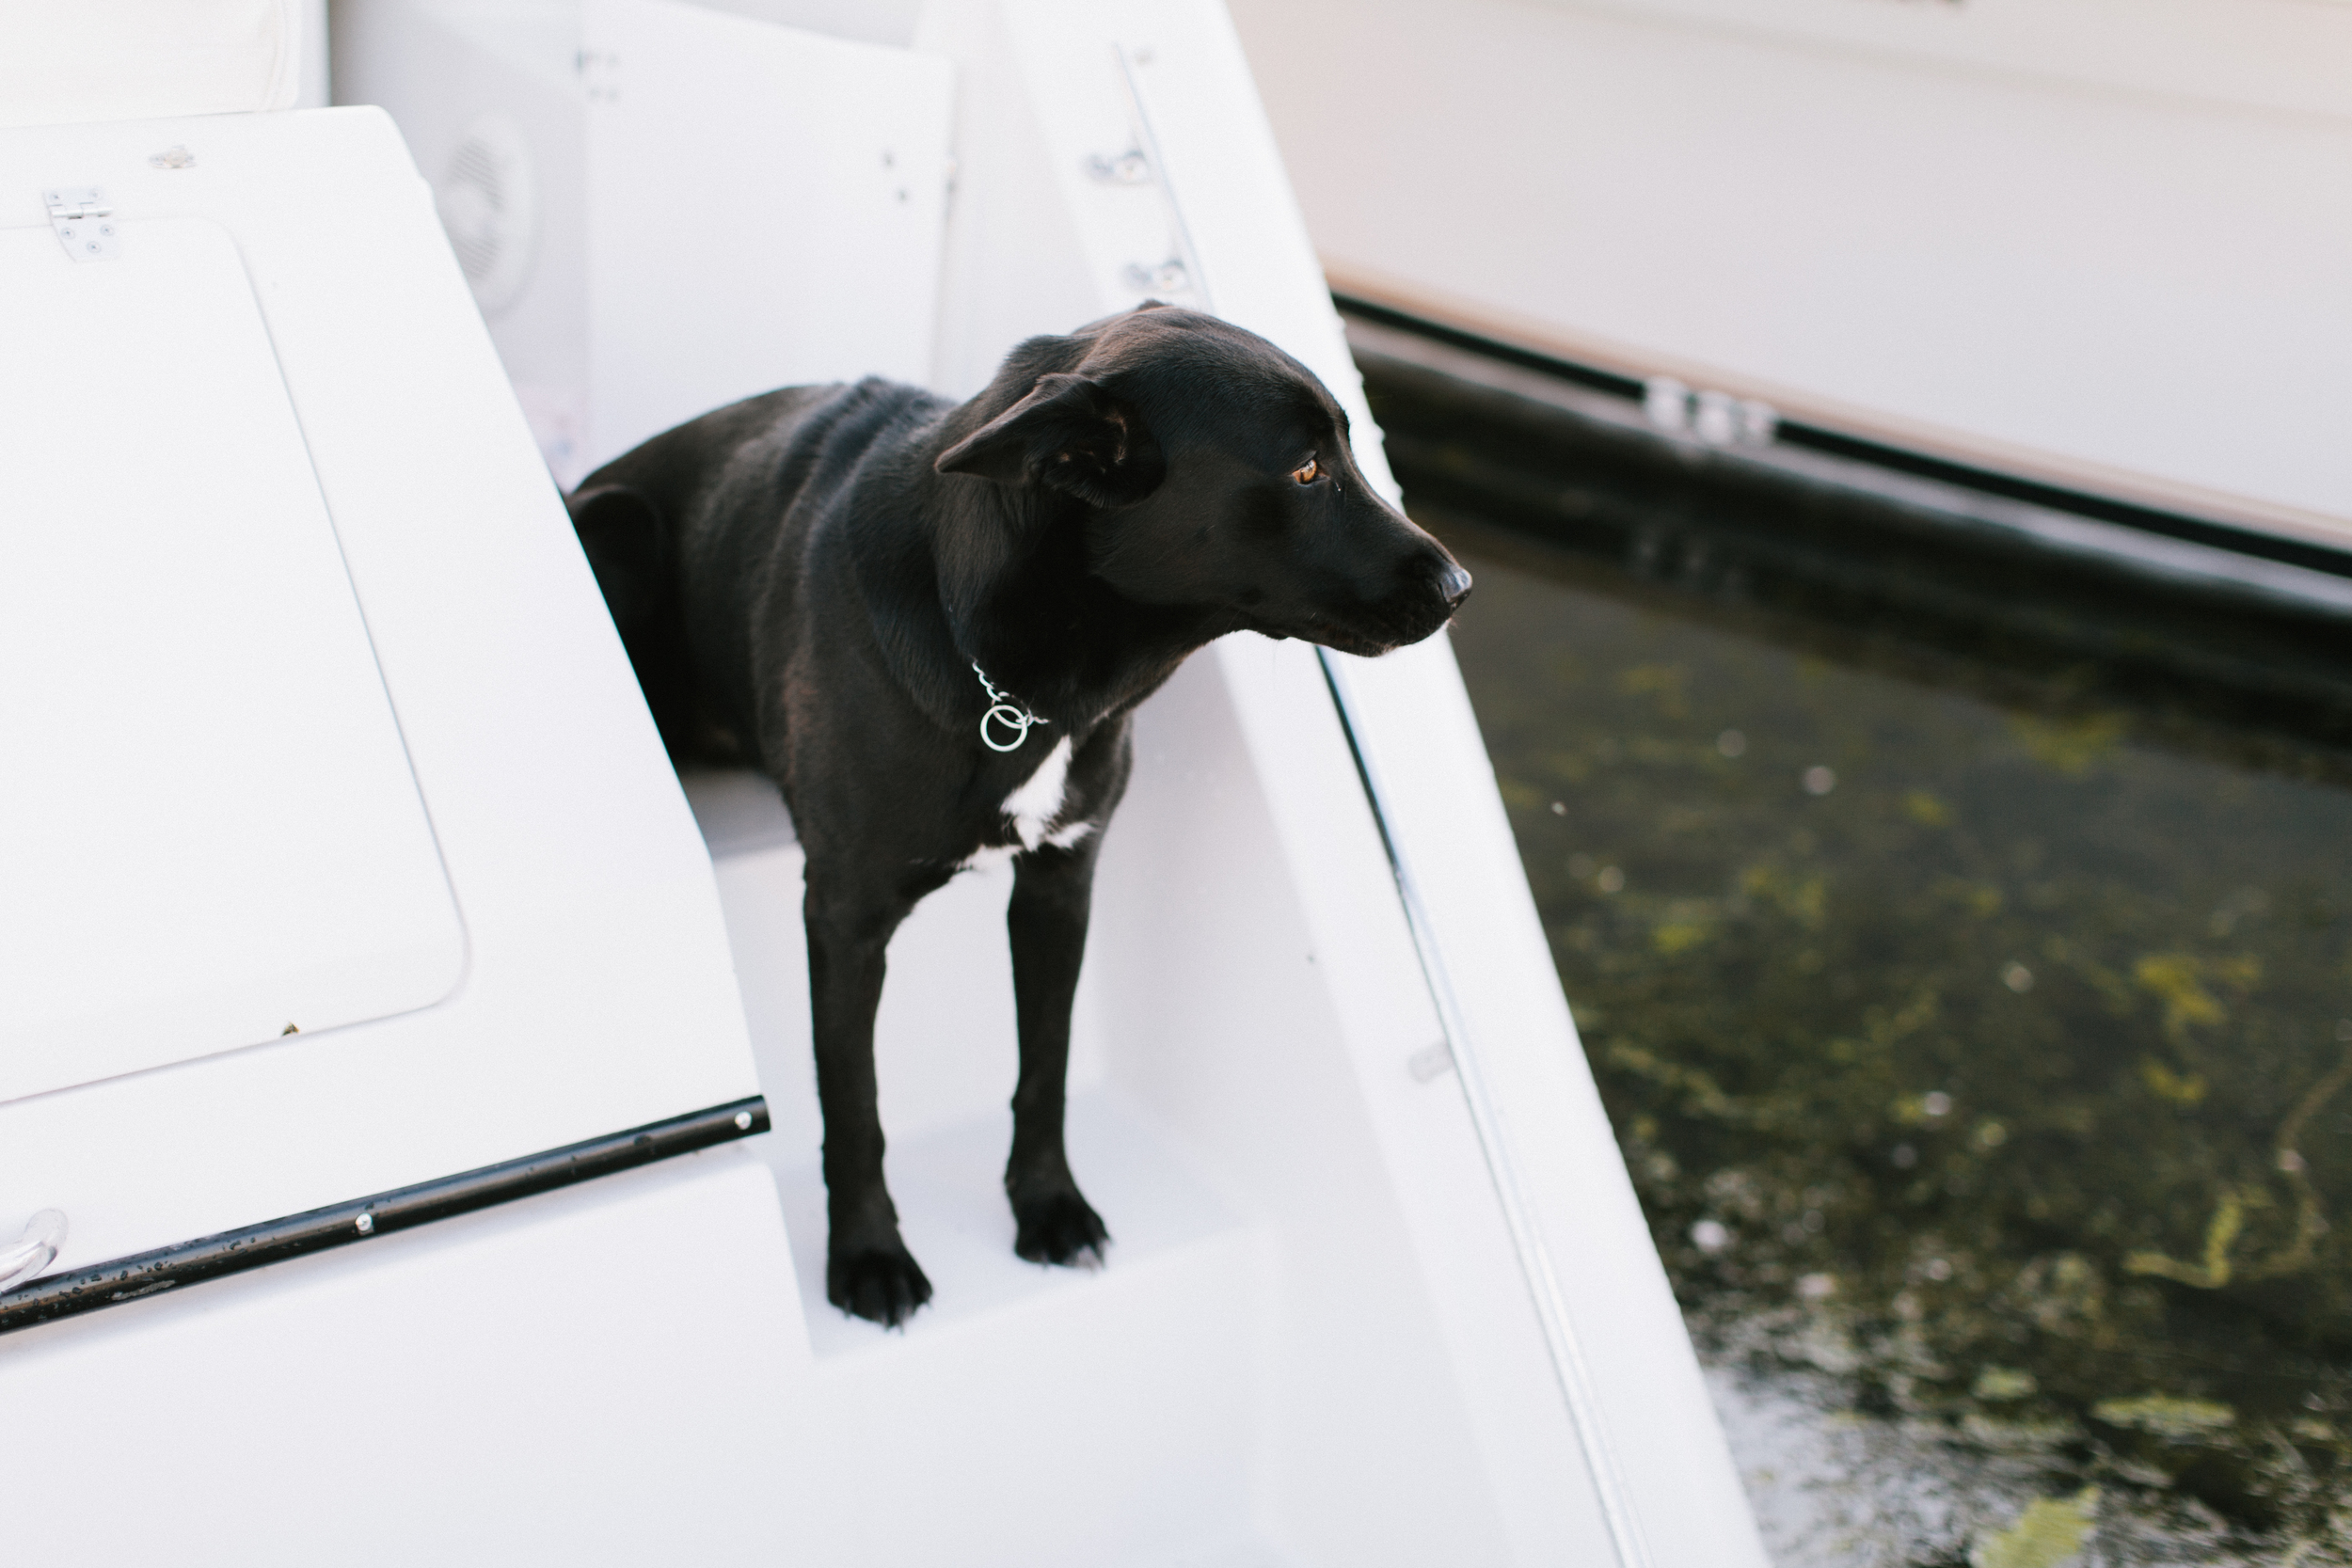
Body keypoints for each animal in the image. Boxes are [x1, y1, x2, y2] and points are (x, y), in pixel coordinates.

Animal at [566, 303, 1458, 1325]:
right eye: (1308, 470)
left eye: (1350, 447)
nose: (1460, 586)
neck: (1023, 680)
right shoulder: (845, 916)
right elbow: (855, 1105)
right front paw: (868, 1256)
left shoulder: (1060, 883)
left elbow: (1047, 1067)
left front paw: (1048, 1206)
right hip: (619, 521)